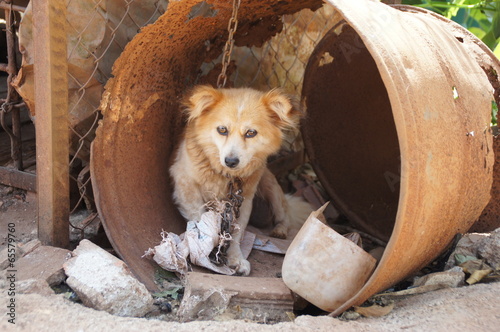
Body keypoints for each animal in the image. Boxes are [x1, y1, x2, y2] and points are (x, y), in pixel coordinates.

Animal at [172, 85, 312, 274]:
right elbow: (201, 221)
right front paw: (205, 251)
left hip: (270, 186)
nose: (231, 161)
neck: (225, 175)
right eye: (222, 129)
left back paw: (280, 230)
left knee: (285, 216)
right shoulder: (184, 183)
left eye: (250, 133)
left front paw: (236, 258)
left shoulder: (243, 200)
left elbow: (237, 232)